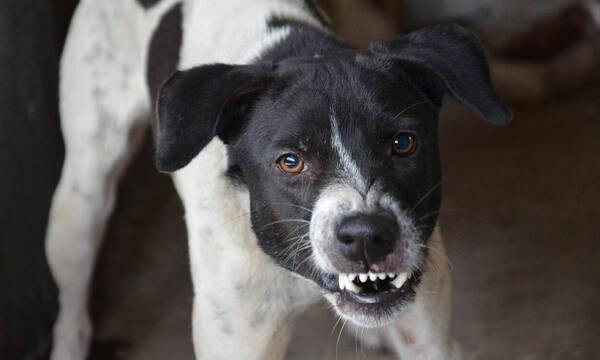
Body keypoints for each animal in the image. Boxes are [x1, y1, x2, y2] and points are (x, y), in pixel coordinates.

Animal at [45, 0, 510, 358]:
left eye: (403, 142)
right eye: (290, 161)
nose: (366, 237)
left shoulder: (431, 338)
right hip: (81, 199)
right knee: (71, 306)